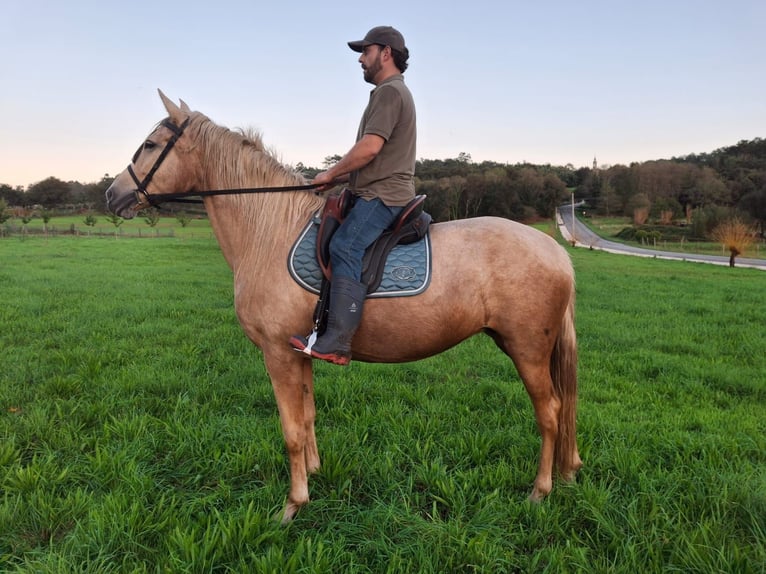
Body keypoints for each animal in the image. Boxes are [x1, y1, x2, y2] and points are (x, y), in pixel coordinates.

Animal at [106, 89, 584, 520]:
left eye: (150, 145)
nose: (112, 195)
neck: (270, 230)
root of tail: (556, 251)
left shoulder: (277, 353)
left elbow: (290, 430)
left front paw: (293, 504)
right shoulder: (300, 351)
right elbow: (308, 416)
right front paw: (314, 475)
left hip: (527, 349)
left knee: (550, 413)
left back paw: (540, 492)